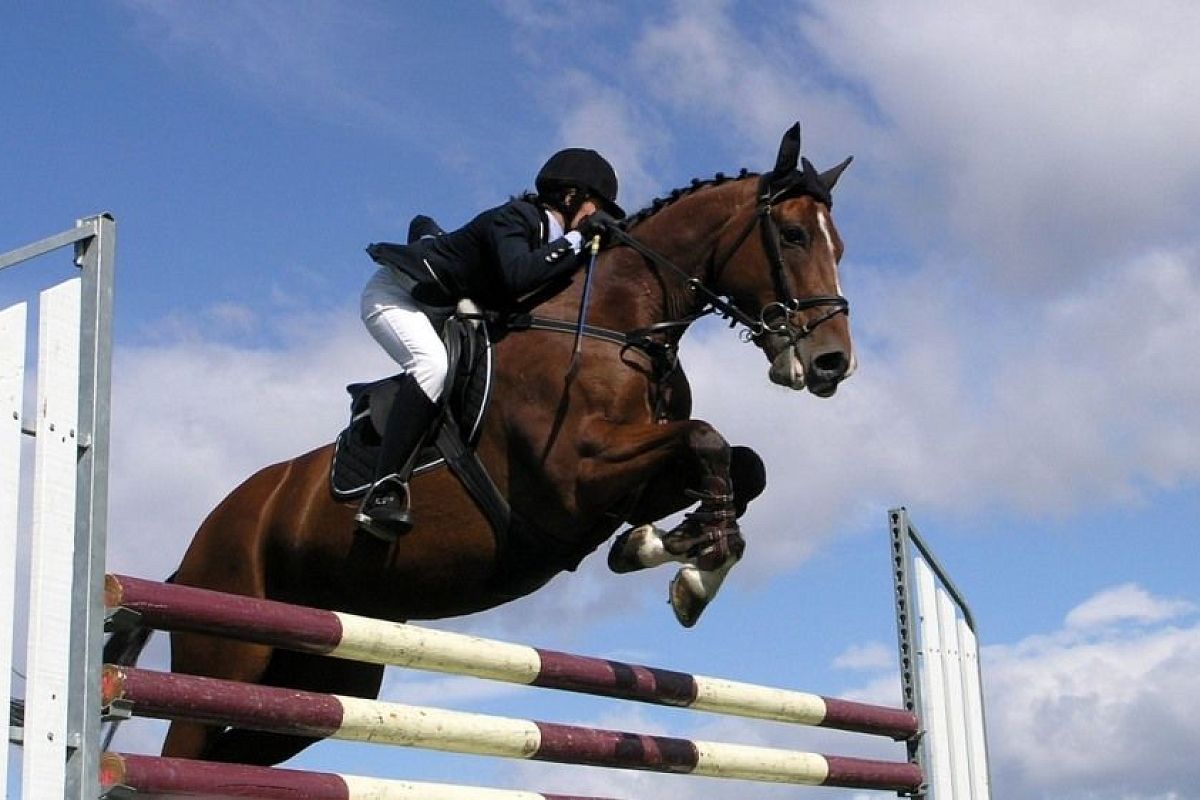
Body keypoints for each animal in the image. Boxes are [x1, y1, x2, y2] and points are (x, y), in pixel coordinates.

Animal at [103, 122, 854, 767]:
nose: (831, 364)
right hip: (226, 649)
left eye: (838, 248)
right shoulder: (574, 481)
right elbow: (708, 441)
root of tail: (192, 553)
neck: (620, 327)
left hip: (324, 675)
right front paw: (693, 570)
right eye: (792, 235)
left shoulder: (627, 483)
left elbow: (740, 464)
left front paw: (671, 551)